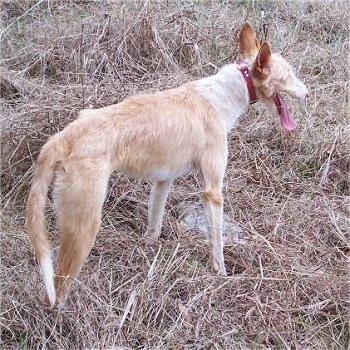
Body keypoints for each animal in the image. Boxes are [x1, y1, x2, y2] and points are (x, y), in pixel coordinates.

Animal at [26, 21, 308, 308]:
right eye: (289, 75)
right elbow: (217, 239)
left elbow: (154, 222)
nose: (308, 92)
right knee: (56, 289)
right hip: (84, 227)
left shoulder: (163, 181)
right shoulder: (212, 190)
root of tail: (65, 136)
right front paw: (220, 273)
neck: (227, 91)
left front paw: (148, 248)